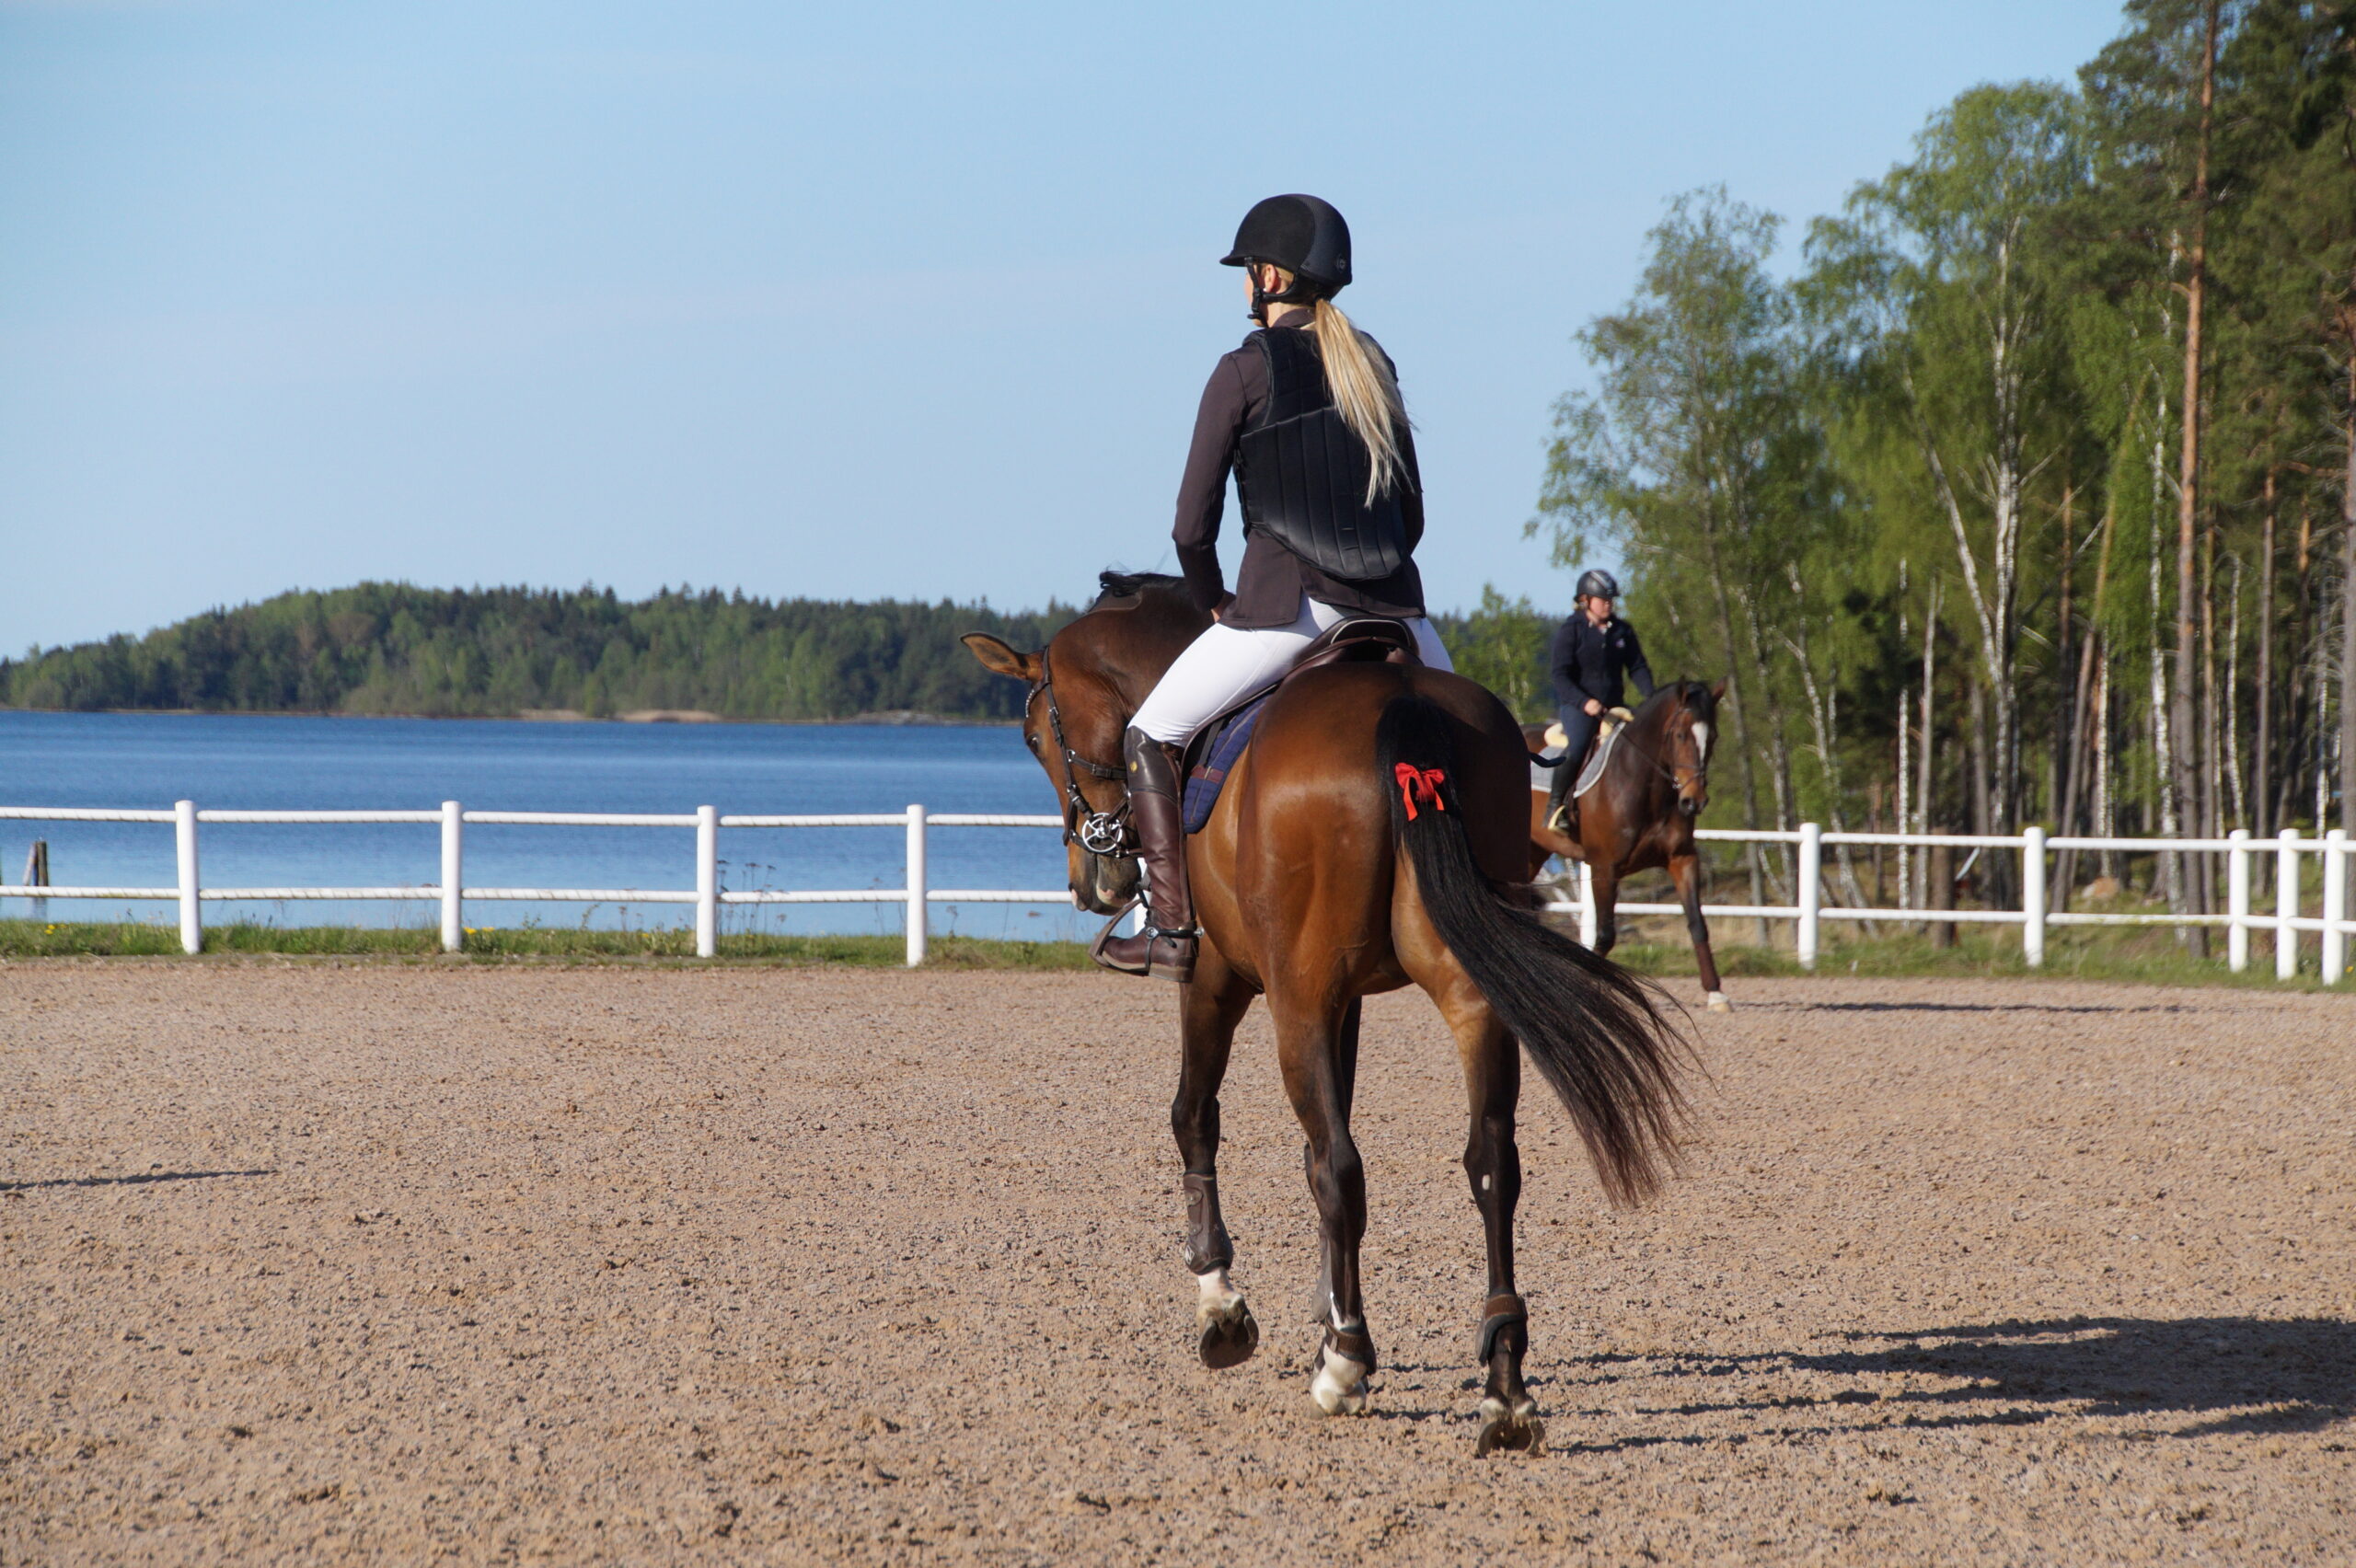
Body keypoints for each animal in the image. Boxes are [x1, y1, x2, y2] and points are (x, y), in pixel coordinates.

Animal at [961, 574, 1696, 1450]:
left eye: (1035, 734)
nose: (1092, 883)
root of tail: (1401, 705)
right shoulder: (1342, 1001)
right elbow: (1318, 1150)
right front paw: (1328, 1309)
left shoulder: (1223, 982)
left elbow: (1197, 1118)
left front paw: (1226, 1306)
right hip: (1466, 993)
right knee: (1487, 1163)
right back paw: (1503, 1388)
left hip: (1297, 998)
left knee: (1343, 1163)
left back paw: (1345, 1366)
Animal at [1526, 677, 1734, 1008]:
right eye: (1679, 734)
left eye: (1712, 736)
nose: (1694, 801)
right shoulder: (1603, 867)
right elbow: (1605, 934)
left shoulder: (1682, 858)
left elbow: (1697, 923)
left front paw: (1716, 993)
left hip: (1534, 851)